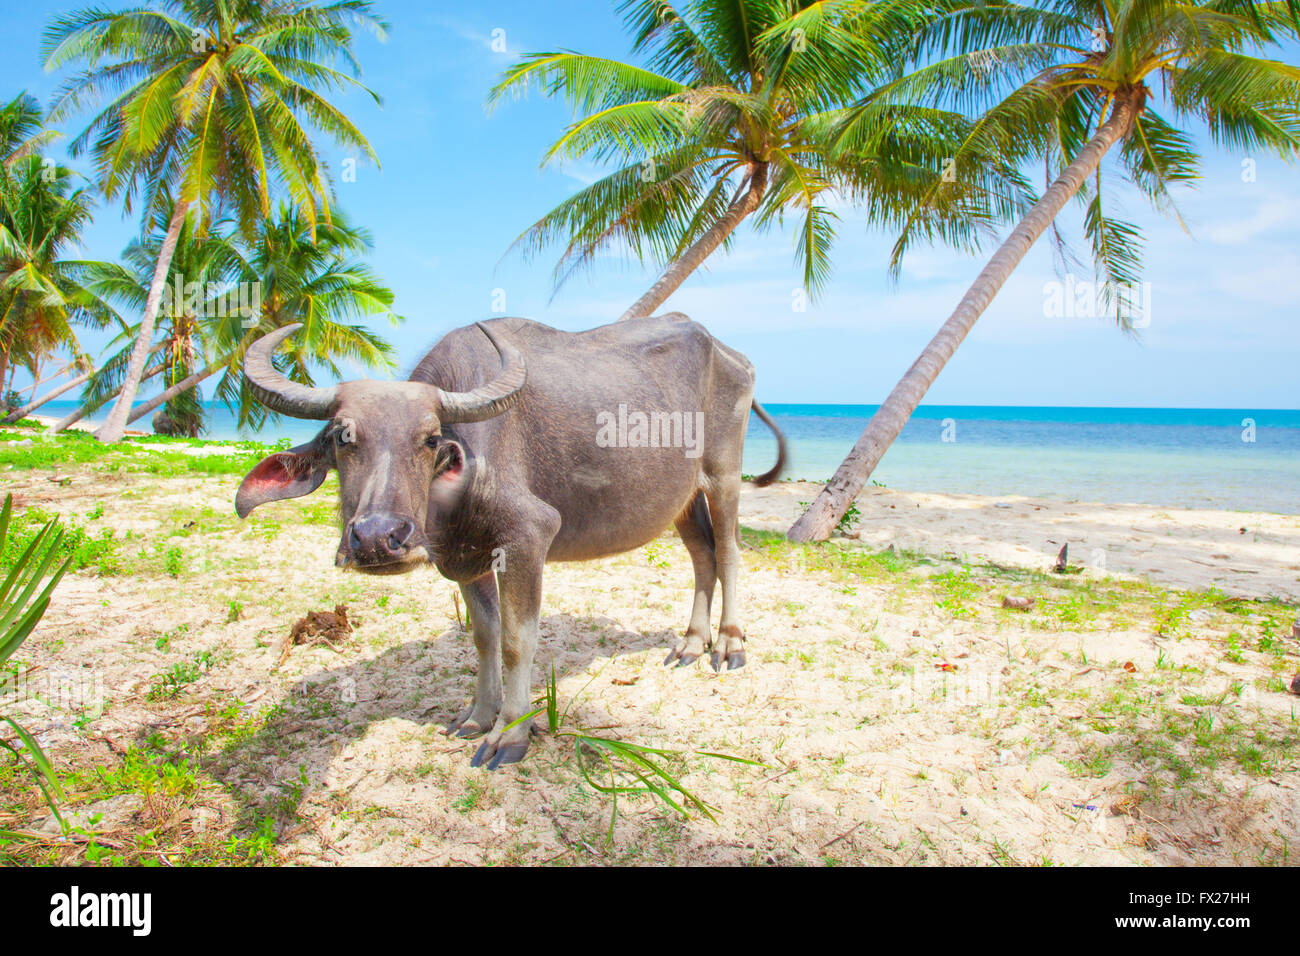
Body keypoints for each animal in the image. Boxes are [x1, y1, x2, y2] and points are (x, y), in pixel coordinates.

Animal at [235, 316, 785, 770]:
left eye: (430, 440)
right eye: (341, 437)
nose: (377, 538)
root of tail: (729, 353)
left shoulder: (527, 538)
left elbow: (519, 641)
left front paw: (511, 733)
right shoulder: (466, 559)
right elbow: (485, 637)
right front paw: (478, 715)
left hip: (724, 474)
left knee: (729, 551)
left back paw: (729, 642)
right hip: (681, 498)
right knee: (702, 555)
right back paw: (691, 642)